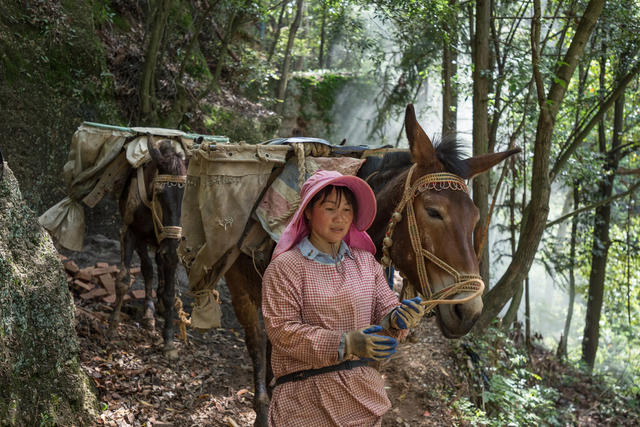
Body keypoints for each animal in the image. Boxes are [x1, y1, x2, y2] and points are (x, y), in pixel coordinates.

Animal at [107, 135, 186, 352]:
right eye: (159, 192)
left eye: (184, 194)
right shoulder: (131, 234)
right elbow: (124, 280)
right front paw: (113, 327)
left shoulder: (170, 247)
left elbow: (170, 293)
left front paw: (169, 340)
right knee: (149, 268)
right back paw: (149, 312)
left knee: (157, 265)